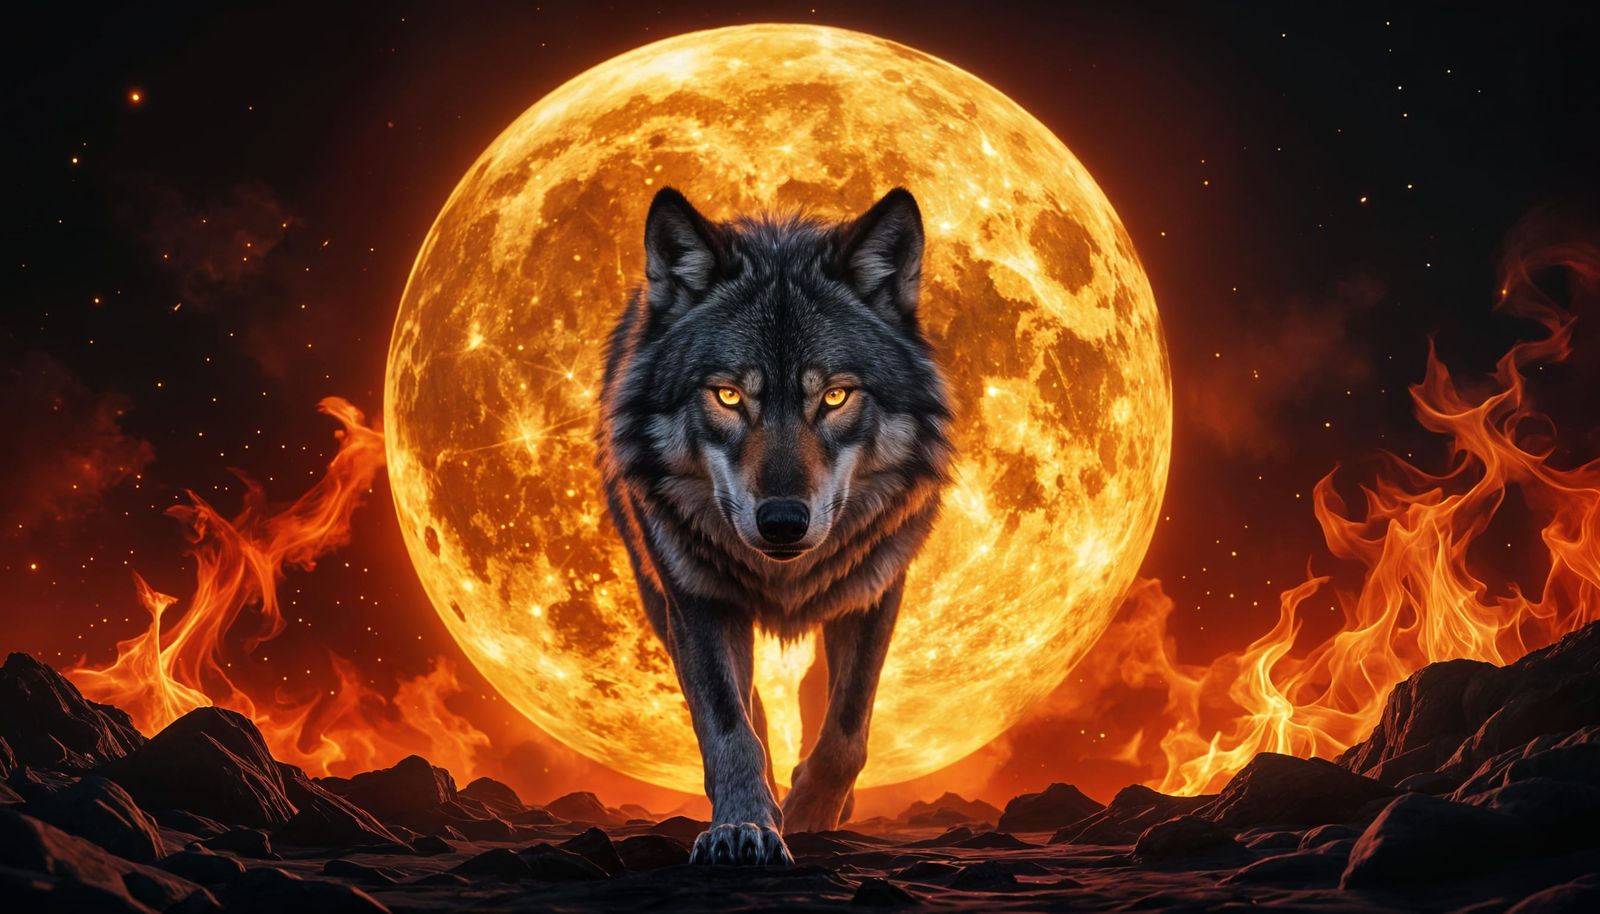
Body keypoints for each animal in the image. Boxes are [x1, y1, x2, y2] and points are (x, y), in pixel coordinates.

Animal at [597, 185, 954, 865]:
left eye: (835, 396)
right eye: (729, 396)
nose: (783, 521)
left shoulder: (877, 592)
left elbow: (846, 731)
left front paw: (811, 813)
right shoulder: (696, 601)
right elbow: (730, 728)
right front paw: (745, 825)